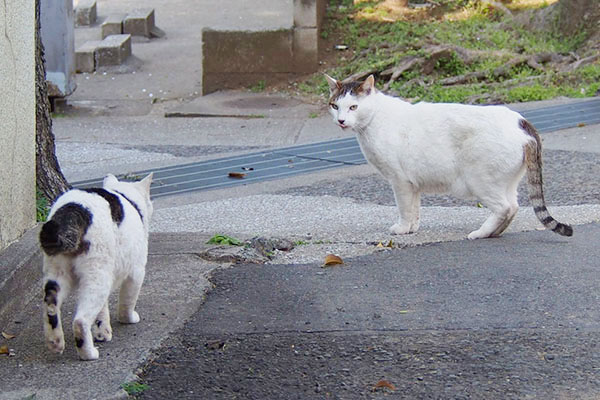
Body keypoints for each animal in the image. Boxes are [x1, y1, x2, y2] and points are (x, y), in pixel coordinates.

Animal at [39, 173, 154, 360]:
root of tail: (71, 211)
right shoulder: (136, 271)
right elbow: (128, 300)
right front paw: (128, 318)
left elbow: (102, 310)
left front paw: (102, 333)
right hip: (97, 275)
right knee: (80, 320)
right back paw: (88, 353)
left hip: (57, 273)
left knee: (51, 305)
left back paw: (55, 343)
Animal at [324, 73, 572, 239]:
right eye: (335, 106)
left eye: (353, 107)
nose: (341, 120)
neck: (374, 120)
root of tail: (523, 123)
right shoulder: (412, 184)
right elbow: (414, 209)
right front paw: (412, 228)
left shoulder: (399, 181)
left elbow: (404, 208)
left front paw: (402, 229)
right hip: (505, 182)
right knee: (514, 206)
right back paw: (493, 232)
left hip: (480, 180)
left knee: (505, 208)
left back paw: (480, 233)